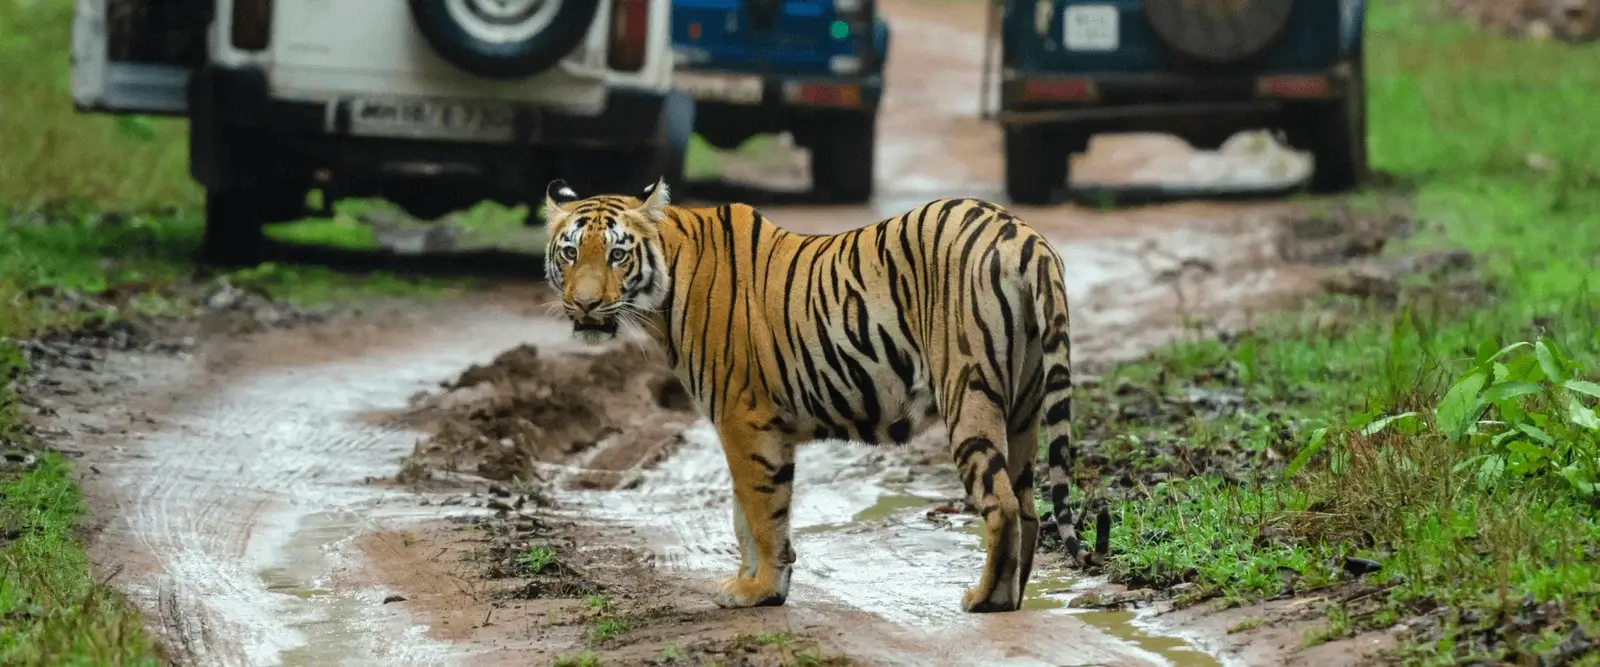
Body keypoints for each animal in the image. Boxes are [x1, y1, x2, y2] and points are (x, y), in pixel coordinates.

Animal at [540, 176, 1109, 613]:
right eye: (570, 252)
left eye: (617, 254)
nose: (584, 306)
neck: (665, 289)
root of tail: (1024, 235)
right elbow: (746, 513)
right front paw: (756, 583)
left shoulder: (743, 419)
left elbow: (759, 512)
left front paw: (758, 590)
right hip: (1024, 406)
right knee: (1029, 506)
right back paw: (1010, 599)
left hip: (968, 393)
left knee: (1002, 504)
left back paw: (983, 600)